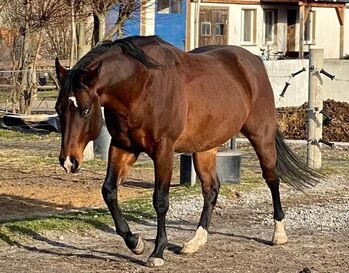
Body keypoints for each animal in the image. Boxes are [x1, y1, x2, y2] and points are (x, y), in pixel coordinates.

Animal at [55, 35, 320, 266]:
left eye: (86, 110)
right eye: (59, 109)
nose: (69, 161)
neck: (141, 85)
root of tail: (253, 61)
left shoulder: (163, 150)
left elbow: (160, 200)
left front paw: (157, 252)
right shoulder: (123, 146)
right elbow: (109, 192)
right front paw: (135, 242)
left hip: (261, 137)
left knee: (272, 178)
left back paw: (279, 234)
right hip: (205, 148)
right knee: (211, 189)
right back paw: (195, 242)